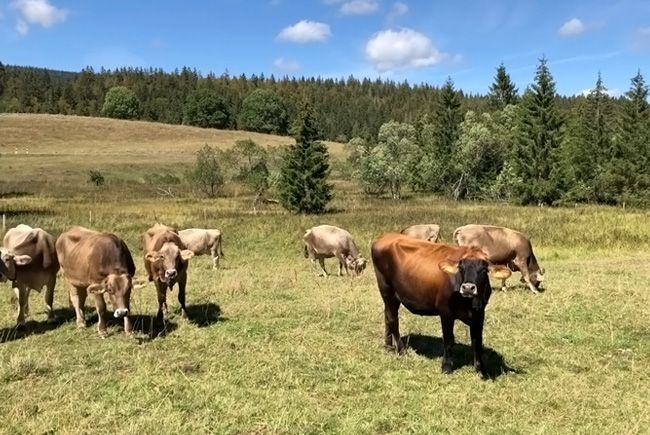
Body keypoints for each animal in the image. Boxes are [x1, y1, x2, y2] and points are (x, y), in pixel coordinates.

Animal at [370, 235, 506, 378]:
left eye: (484, 270)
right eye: (461, 268)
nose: (468, 287)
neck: (469, 303)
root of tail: (385, 236)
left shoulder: (479, 314)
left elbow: (477, 342)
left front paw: (480, 370)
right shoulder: (446, 312)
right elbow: (448, 340)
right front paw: (446, 367)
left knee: (387, 316)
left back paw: (389, 346)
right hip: (386, 289)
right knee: (392, 319)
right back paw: (401, 350)